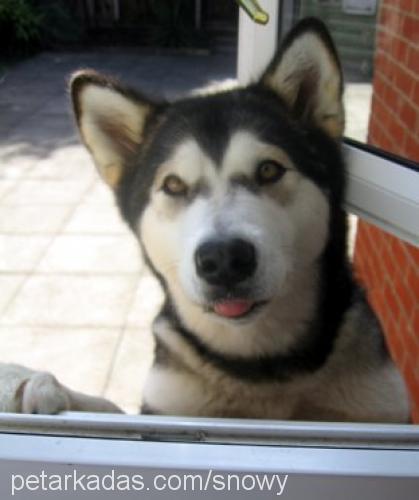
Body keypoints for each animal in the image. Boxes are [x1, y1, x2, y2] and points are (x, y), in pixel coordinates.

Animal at [0, 18, 410, 422]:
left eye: (268, 170)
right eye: (173, 185)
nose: (224, 259)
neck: (258, 367)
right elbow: (111, 408)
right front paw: (41, 388)